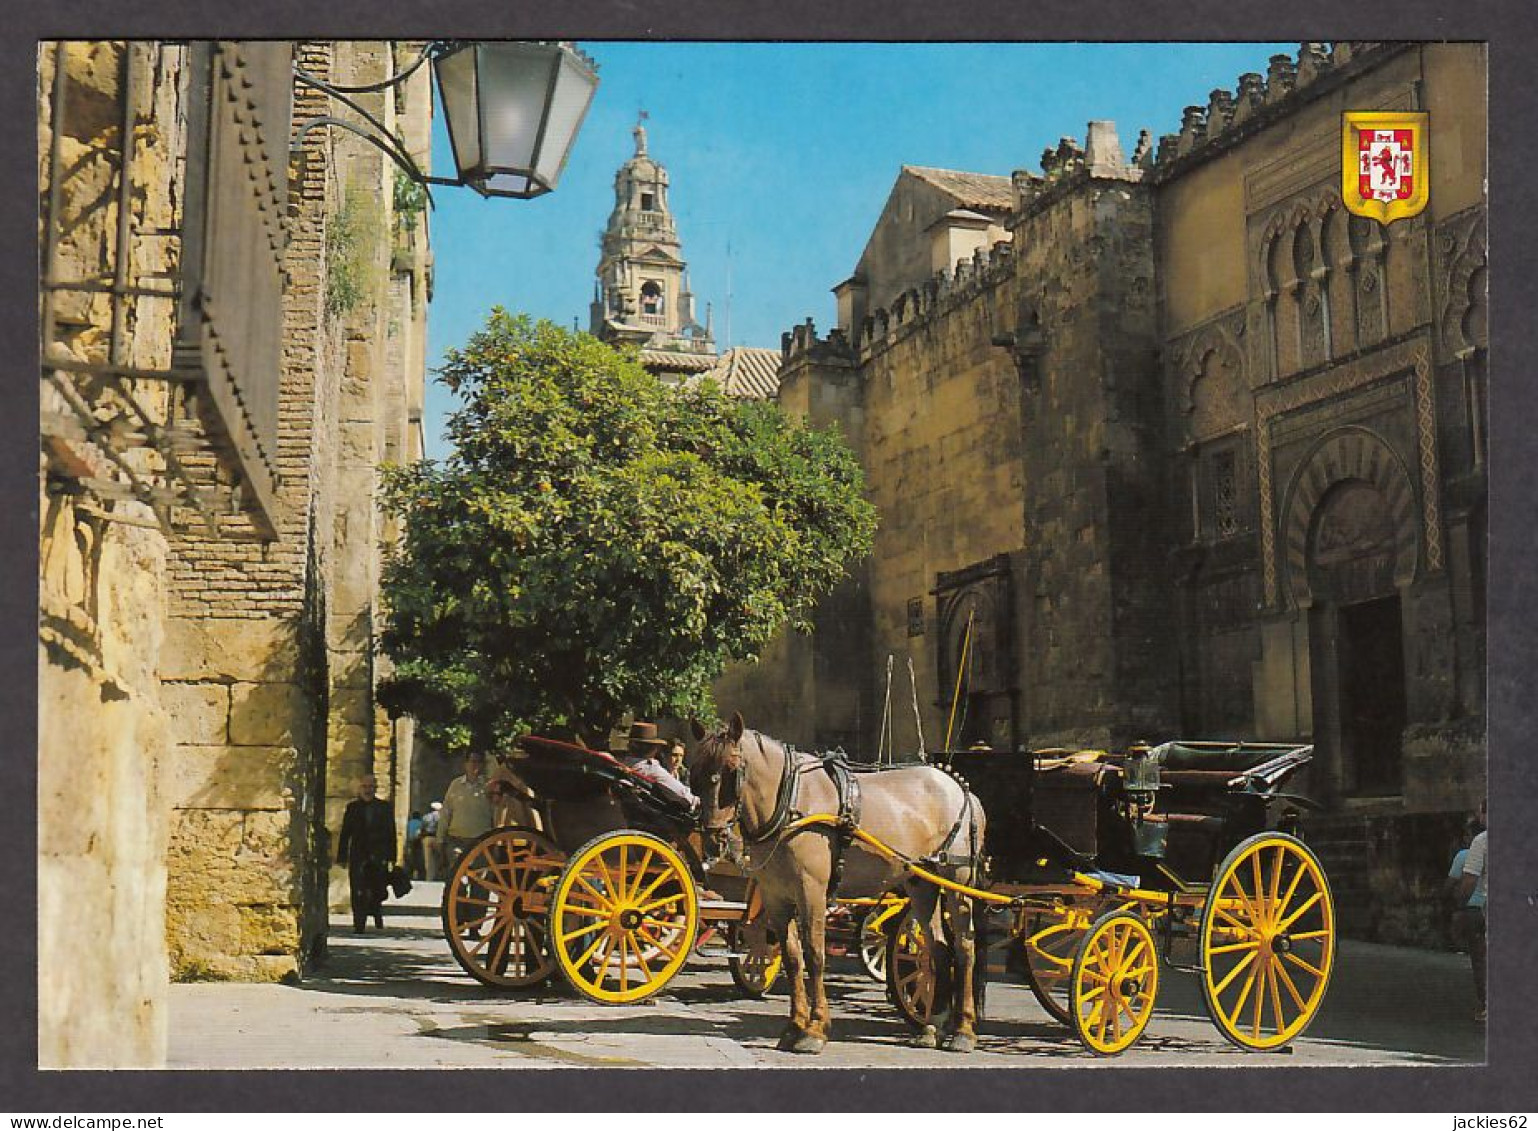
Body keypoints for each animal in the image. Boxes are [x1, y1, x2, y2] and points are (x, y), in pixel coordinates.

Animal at [689, 717, 984, 1052]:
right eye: (695, 772)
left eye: (732, 770)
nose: (713, 839)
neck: (791, 802)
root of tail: (960, 788)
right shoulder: (776, 896)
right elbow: (792, 958)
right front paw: (794, 1026)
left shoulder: (811, 891)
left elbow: (815, 955)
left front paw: (815, 1030)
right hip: (921, 883)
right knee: (937, 948)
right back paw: (932, 1025)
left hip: (958, 879)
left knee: (964, 947)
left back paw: (963, 1030)